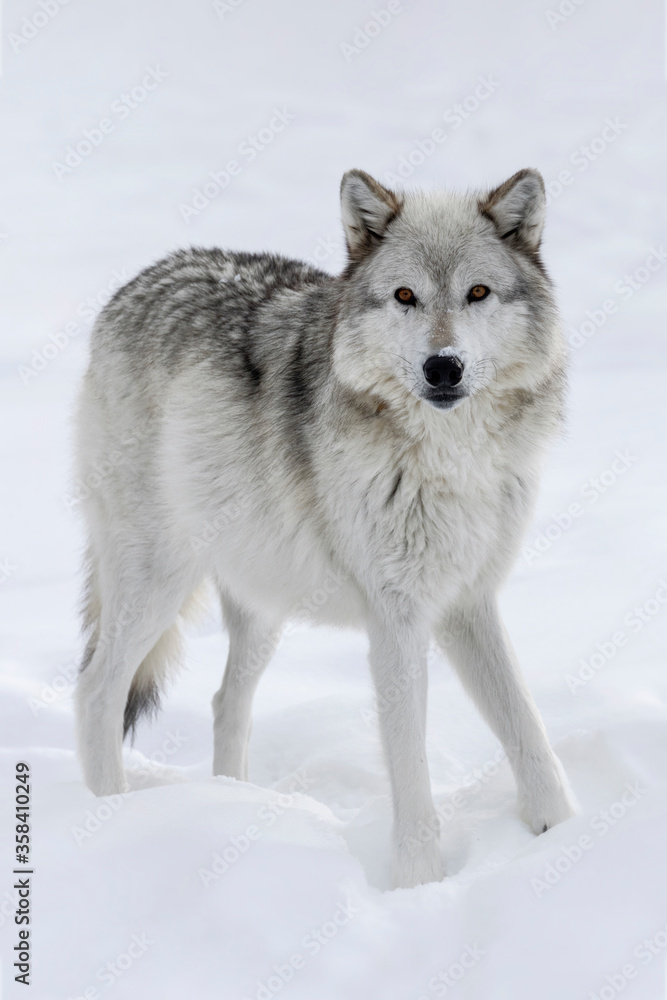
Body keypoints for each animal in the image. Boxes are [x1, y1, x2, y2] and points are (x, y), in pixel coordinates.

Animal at [75, 167, 575, 888]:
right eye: (405, 296)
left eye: (477, 293)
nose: (442, 367)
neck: (450, 460)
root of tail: (138, 282)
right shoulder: (397, 620)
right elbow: (410, 767)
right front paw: (419, 882)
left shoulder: (468, 603)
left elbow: (527, 729)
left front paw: (561, 835)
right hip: (158, 582)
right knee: (96, 692)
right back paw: (108, 818)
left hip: (262, 603)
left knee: (226, 702)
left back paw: (231, 805)